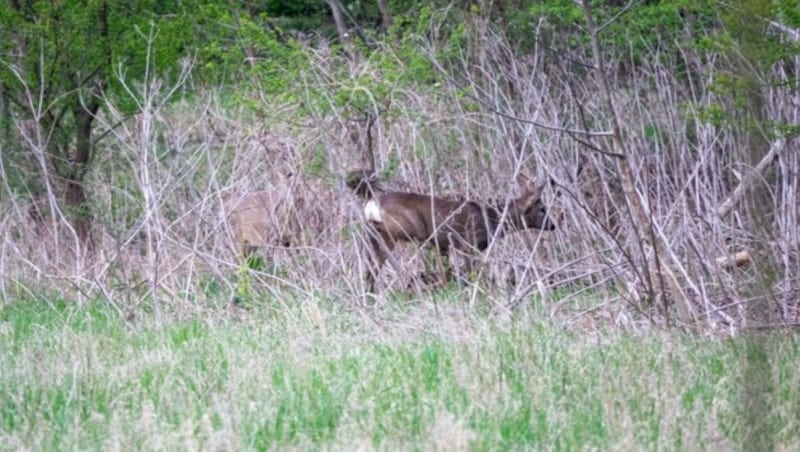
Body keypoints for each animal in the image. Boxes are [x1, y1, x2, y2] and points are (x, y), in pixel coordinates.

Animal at [350, 170, 556, 294]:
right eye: (542, 209)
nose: (553, 225)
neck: (491, 220)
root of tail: (371, 206)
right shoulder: (468, 243)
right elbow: (472, 271)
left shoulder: (445, 246)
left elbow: (449, 270)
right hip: (409, 231)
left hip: (375, 234)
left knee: (371, 268)